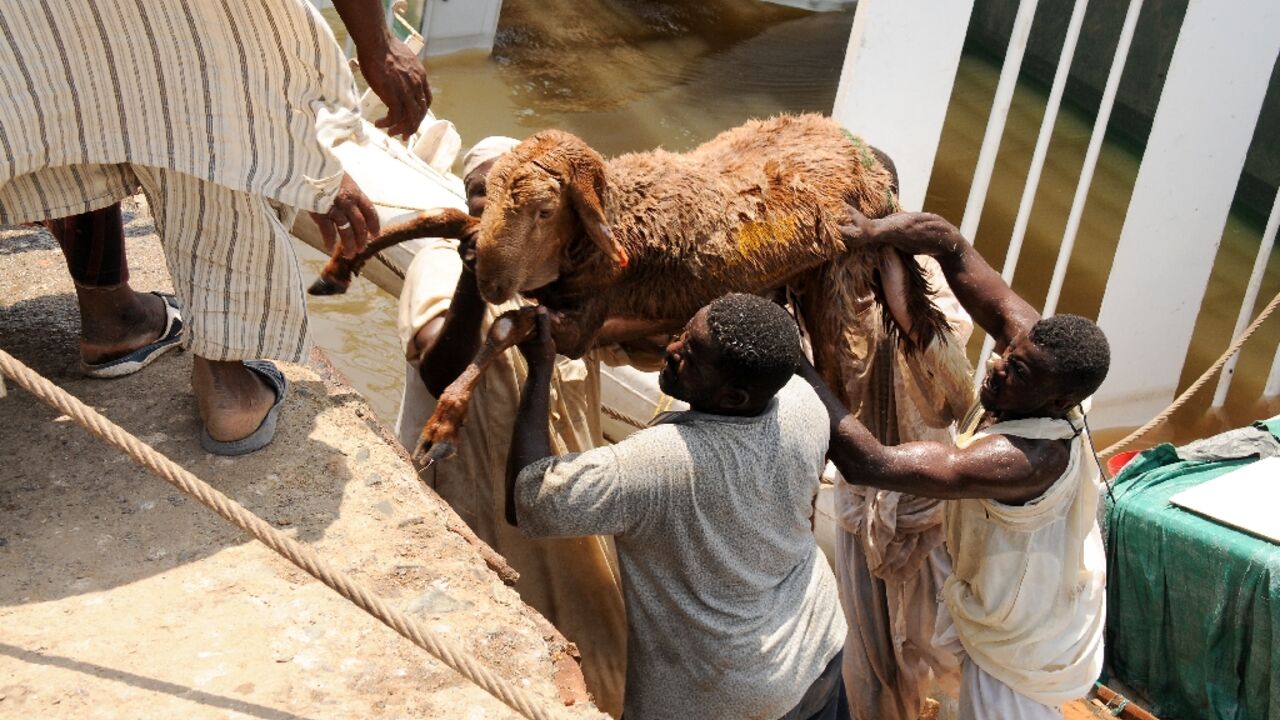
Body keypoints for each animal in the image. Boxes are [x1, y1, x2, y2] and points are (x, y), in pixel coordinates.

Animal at [309, 114, 952, 456]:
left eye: (546, 210)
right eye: (488, 193)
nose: (487, 278)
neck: (620, 222)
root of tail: (856, 149)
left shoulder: (580, 324)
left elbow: (507, 327)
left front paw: (442, 425)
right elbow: (437, 218)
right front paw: (339, 267)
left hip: (836, 284)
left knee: (844, 383)